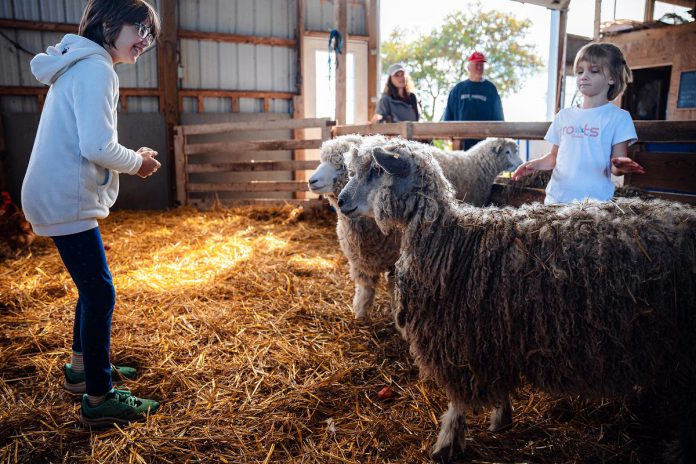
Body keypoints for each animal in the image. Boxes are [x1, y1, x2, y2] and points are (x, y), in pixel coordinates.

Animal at [310, 136, 520, 320]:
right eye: (350, 171)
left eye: (341, 166)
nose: (311, 181)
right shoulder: (360, 260)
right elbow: (365, 291)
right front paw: (360, 316)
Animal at [338, 141, 696, 464]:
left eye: (375, 171)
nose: (341, 201)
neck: (448, 238)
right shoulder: (496, 335)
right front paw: (501, 418)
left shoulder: (459, 340)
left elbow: (457, 403)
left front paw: (447, 444)